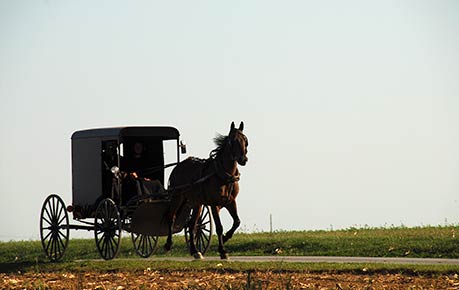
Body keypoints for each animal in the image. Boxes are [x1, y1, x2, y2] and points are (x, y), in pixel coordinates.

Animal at [165, 121, 250, 260]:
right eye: (232, 141)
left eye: (245, 140)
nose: (243, 159)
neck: (224, 175)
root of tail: (178, 166)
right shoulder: (214, 204)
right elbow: (219, 226)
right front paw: (222, 251)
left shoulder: (231, 202)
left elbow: (237, 221)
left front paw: (226, 238)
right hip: (177, 197)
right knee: (171, 217)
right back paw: (168, 244)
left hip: (196, 203)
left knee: (192, 225)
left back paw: (195, 251)